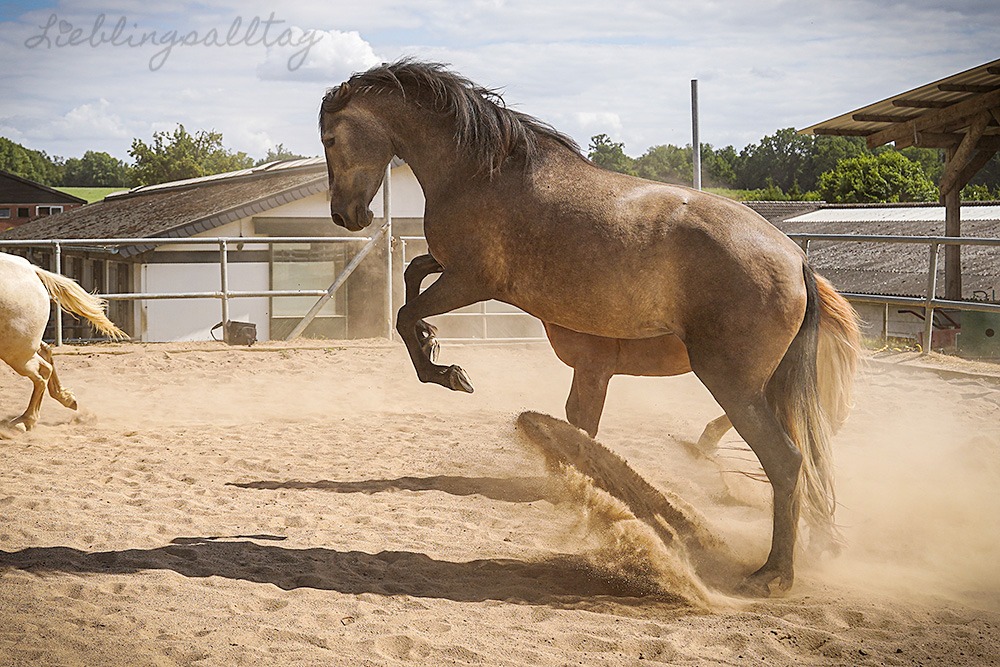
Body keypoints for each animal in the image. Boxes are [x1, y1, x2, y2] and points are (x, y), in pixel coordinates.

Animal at [0, 252, 127, 431]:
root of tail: (31, 270)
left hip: (17, 351)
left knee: (43, 371)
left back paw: (25, 421)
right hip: (23, 344)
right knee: (46, 352)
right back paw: (66, 398)